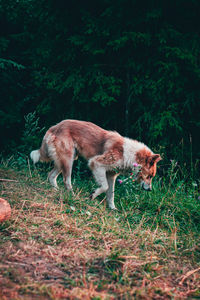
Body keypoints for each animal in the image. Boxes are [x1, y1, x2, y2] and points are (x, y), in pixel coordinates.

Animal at [29, 119, 161, 209]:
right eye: (150, 176)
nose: (150, 189)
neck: (130, 154)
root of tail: (55, 126)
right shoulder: (96, 164)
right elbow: (105, 187)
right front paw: (93, 195)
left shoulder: (111, 175)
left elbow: (111, 194)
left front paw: (112, 208)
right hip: (68, 160)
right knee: (66, 180)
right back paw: (72, 195)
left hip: (64, 160)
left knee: (51, 176)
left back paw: (57, 190)